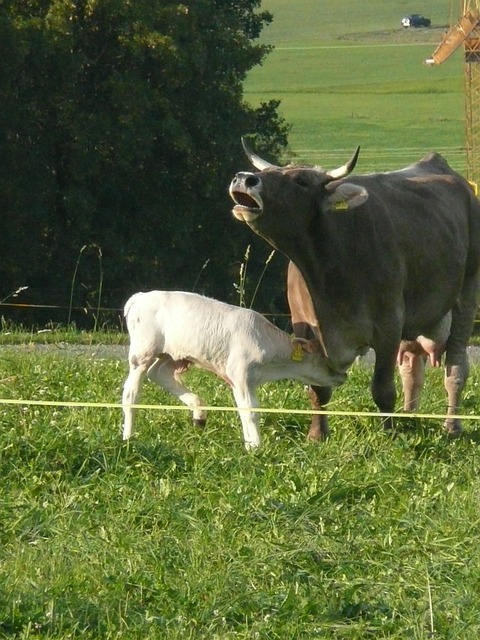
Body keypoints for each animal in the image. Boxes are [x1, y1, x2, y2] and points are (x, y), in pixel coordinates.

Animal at [121, 288, 344, 444]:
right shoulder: (241, 375)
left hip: (174, 355)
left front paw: (249, 443)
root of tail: (141, 296)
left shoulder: (241, 381)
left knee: (159, 373)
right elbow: (251, 411)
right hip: (143, 352)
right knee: (131, 394)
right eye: (326, 360)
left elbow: (243, 409)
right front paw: (256, 447)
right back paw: (128, 437)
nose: (343, 376)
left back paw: (199, 414)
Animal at [230, 141, 480, 436]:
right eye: (269, 171)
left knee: (456, 369)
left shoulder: (388, 325)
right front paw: (317, 434)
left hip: (466, 295)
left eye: (301, 180)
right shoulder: (306, 327)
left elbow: (383, 388)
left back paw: (451, 425)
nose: (245, 178)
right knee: (411, 368)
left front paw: (389, 432)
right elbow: (318, 387)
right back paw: (410, 417)